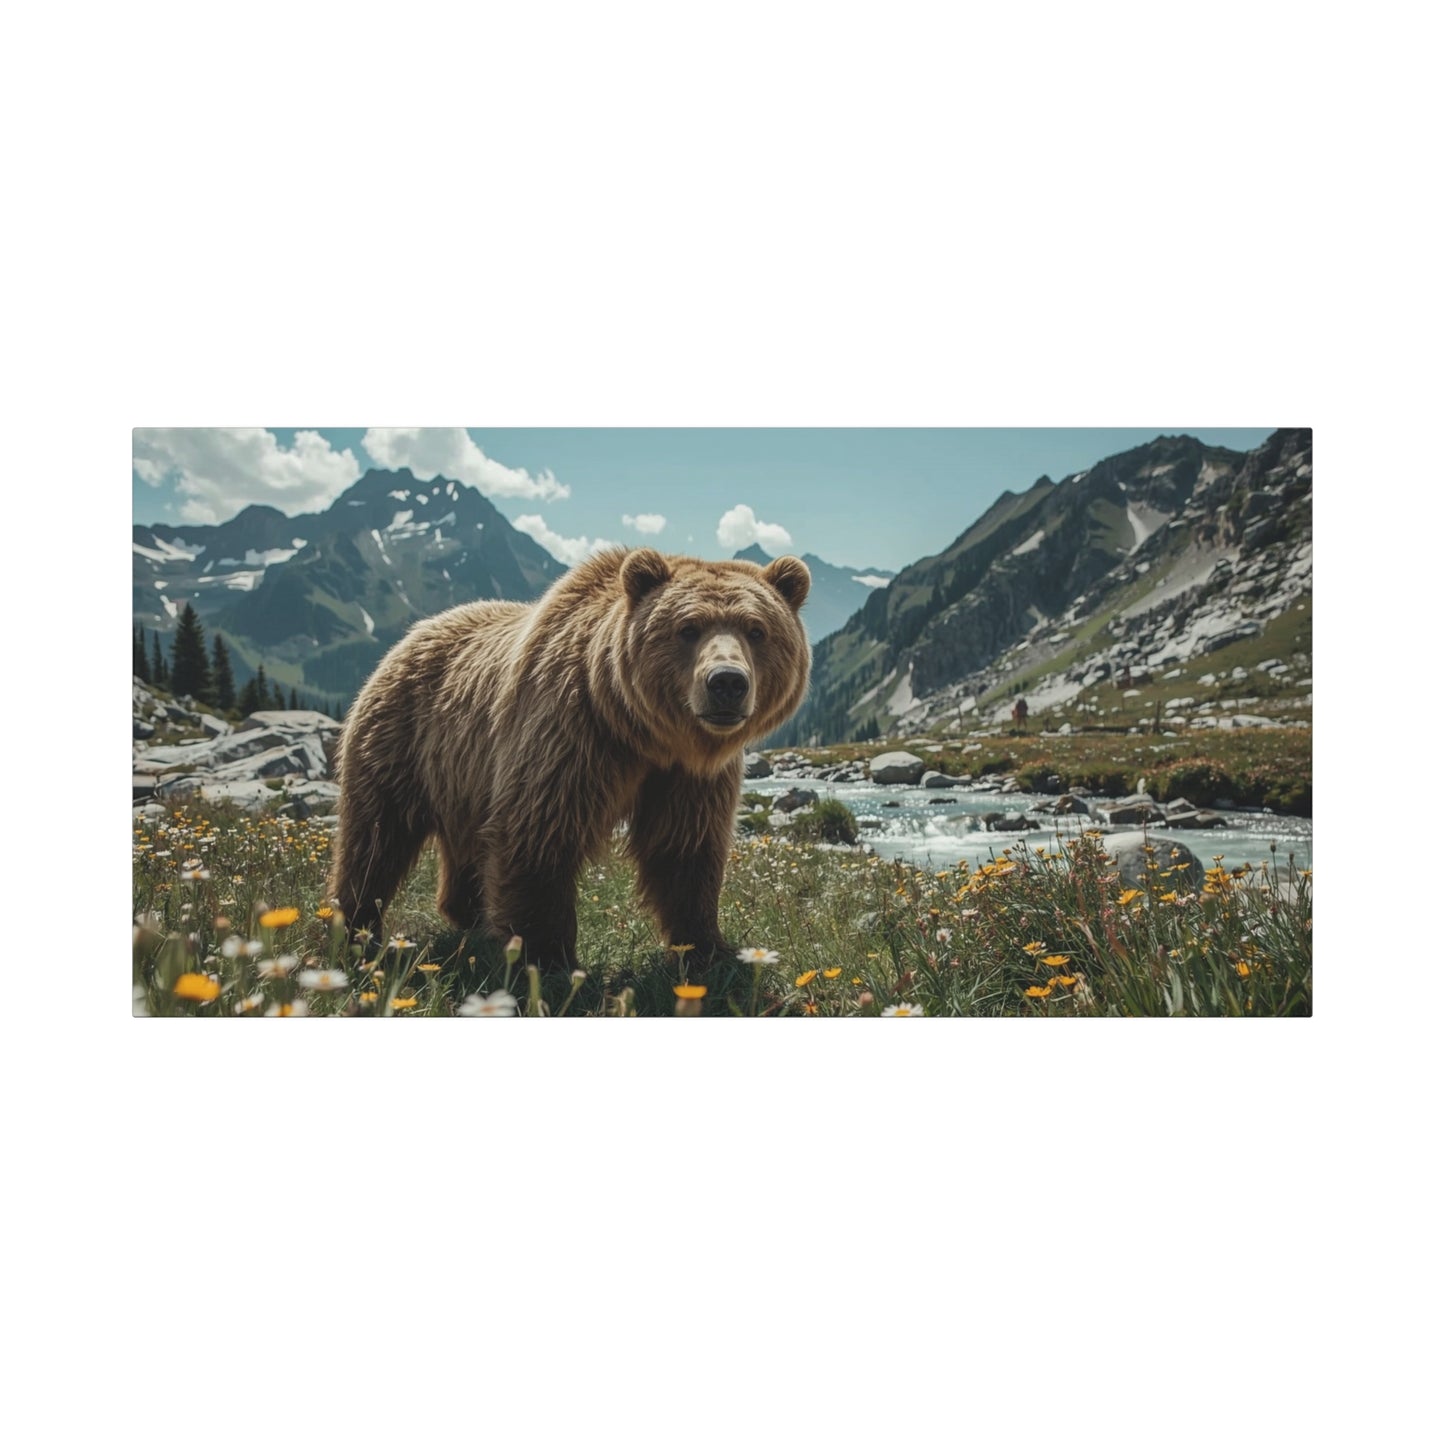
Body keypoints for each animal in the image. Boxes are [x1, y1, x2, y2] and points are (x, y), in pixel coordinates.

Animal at [328, 546, 811, 969]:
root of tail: (411, 635)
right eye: (688, 628)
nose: (727, 682)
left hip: (463, 775)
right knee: (375, 838)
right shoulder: (571, 734)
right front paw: (545, 956)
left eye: (756, 630)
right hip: (402, 740)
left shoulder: (687, 776)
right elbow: (540, 834)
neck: (643, 734)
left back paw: (467, 916)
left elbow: (684, 848)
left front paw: (709, 948)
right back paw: (356, 927)